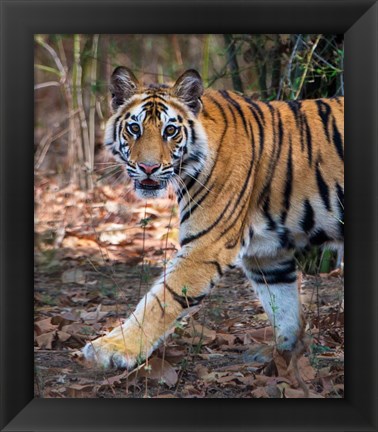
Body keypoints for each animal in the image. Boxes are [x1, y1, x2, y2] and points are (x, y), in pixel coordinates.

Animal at [84, 66, 344, 370]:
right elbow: (283, 305)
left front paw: (113, 348)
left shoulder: (207, 245)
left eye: (170, 130)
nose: (148, 168)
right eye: (134, 128)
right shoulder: (268, 254)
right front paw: (284, 355)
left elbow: (162, 300)